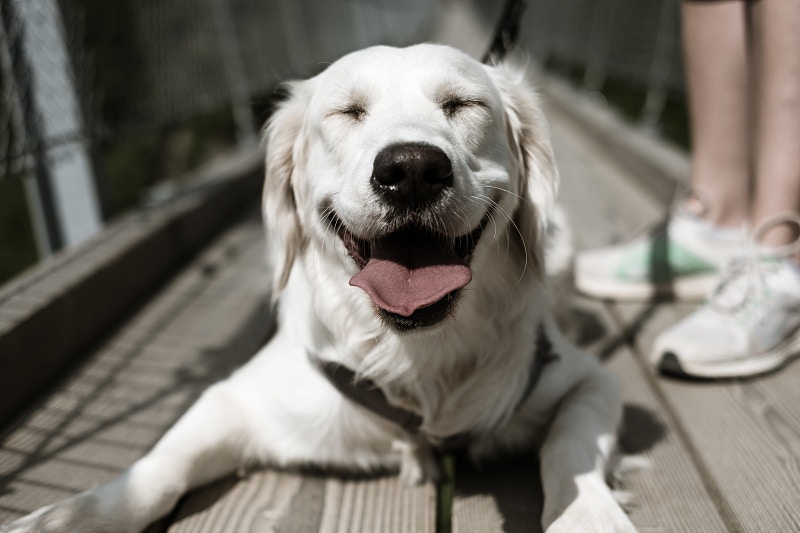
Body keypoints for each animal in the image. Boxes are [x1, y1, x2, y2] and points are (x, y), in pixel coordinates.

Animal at [3, 42, 636, 532]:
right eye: (348, 112)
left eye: (461, 104)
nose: (411, 169)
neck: (414, 358)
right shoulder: (238, 399)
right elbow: (155, 472)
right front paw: (71, 517)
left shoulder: (588, 380)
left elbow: (569, 447)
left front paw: (588, 516)